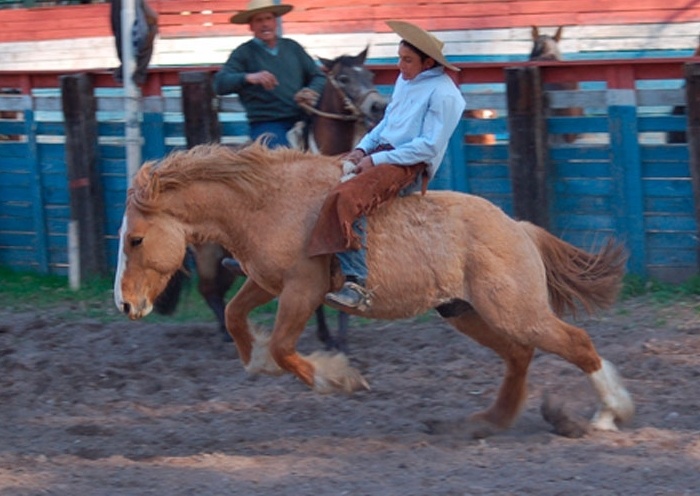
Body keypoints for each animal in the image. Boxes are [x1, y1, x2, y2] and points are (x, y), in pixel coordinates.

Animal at [116, 141, 636, 436]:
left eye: (135, 239)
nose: (124, 304)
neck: (269, 203)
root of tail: (518, 228)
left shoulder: (302, 290)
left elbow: (284, 346)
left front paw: (336, 378)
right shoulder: (267, 282)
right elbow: (235, 317)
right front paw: (259, 361)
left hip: (515, 310)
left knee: (575, 343)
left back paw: (609, 414)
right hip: (467, 312)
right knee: (519, 355)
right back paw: (486, 422)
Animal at [154, 49, 392, 352]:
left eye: (370, 74)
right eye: (343, 78)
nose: (378, 106)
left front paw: (339, 340)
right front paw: (325, 336)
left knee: (217, 287)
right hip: (207, 250)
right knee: (208, 290)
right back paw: (227, 335)